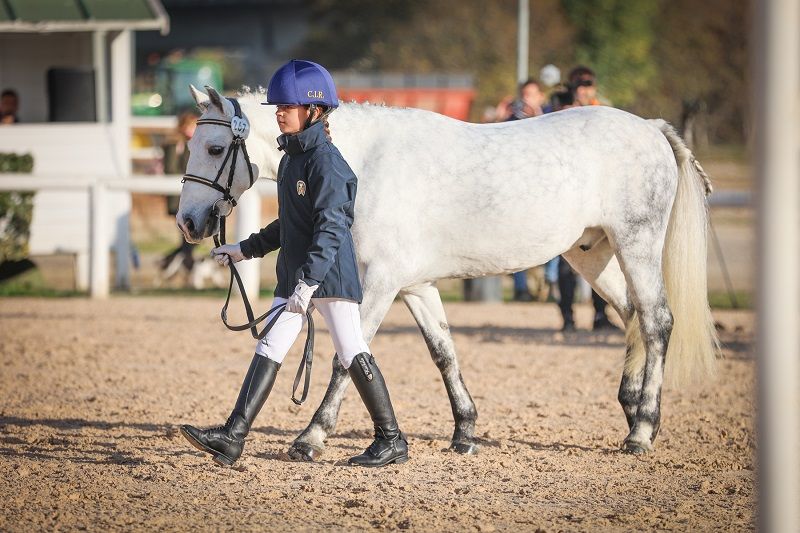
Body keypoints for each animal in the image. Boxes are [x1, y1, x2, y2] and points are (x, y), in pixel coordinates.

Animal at [176, 85, 718, 460]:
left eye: (213, 149)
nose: (188, 222)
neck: (363, 161)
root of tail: (651, 127)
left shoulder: (379, 282)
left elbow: (347, 359)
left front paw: (312, 436)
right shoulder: (416, 285)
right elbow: (444, 353)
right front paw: (465, 431)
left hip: (637, 244)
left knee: (656, 321)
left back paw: (643, 429)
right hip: (592, 253)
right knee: (631, 316)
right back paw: (630, 409)